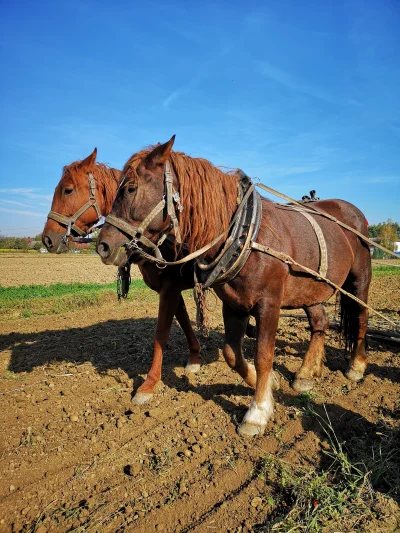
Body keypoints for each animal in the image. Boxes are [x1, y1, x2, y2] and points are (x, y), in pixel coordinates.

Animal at [43, 148, 203, 374]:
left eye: (67, 190)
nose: (47, 238)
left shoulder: (171, 286)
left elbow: (164, 330)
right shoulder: (170, 288)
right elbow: (183, 317)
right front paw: (194, 356)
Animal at [97, 136, 372, 436]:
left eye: (131, 189)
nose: (103, 246)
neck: (245, 235)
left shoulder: (268, 304)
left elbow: (264, 355)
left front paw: (257, 412)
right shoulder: (234, 304)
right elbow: (231, 354)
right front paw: (268, 382)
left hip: (360, 278)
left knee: (361, 315)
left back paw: (356, 366)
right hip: (310, 290)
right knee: (320, 322)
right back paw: (306, 374)